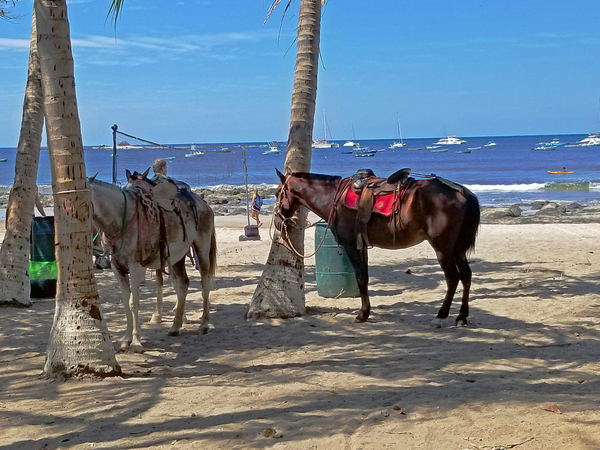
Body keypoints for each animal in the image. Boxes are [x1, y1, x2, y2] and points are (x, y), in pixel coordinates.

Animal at [90, 171, 217, 350]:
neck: (121, 219)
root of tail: (203, 203)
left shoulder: (136, 267)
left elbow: (133, 302)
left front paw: (136, 341)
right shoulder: (118, 268)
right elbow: (125, 302)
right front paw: (126, 339)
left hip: (202, 248)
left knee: (205, 282)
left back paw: (204, 324)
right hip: (178, 257)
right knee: (183, 284)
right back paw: (175, 326)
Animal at [274, 168, 480, 326]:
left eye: (277, 194)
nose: (277, 222)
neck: (333, 198)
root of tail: (460, 191)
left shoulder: (351, 246)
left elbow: (360, 277)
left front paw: (362, 314)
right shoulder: (362, 246)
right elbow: (364, 277)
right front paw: (366, 312)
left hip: (442, 248)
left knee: (453, 278)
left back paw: (440, 316)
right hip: (457, 249)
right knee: (466, 276)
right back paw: (461, 317)